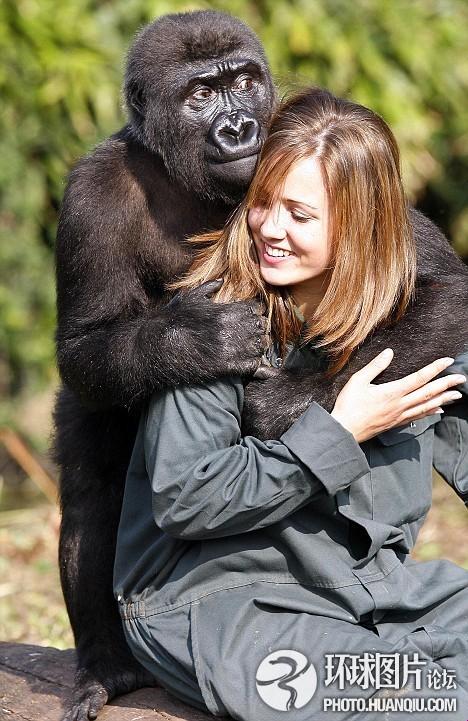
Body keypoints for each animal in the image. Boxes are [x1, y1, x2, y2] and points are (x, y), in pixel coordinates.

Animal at [53, 11, 276, 720]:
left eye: (244, 83)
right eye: (200, 94)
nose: (240, 128)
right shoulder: (91, 194)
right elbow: (85, 345)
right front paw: (198, 341)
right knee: (94, 487)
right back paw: (106, 666)